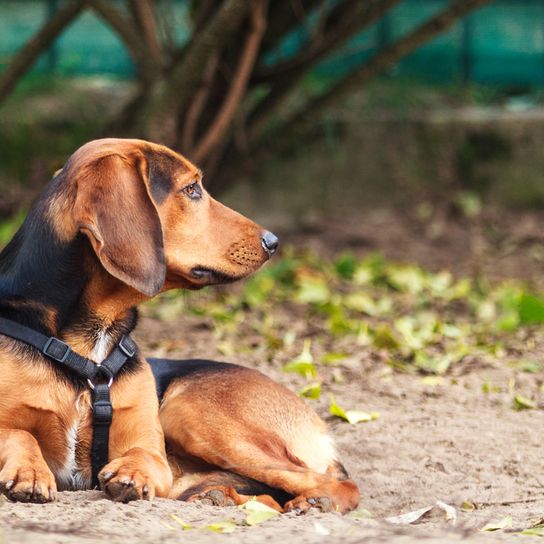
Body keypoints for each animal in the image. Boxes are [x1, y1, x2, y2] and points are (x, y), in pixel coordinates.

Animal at [0, 139, 360, 516]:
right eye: (192, 190)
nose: (273, 242)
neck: (89, 346)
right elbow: (20, 433)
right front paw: (30, 472)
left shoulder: (150, 448)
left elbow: (143, 455)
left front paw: (132, 472)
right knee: (269, 496)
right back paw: (220, 496)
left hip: (186, 410)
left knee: (334, 483)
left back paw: (316, 502)